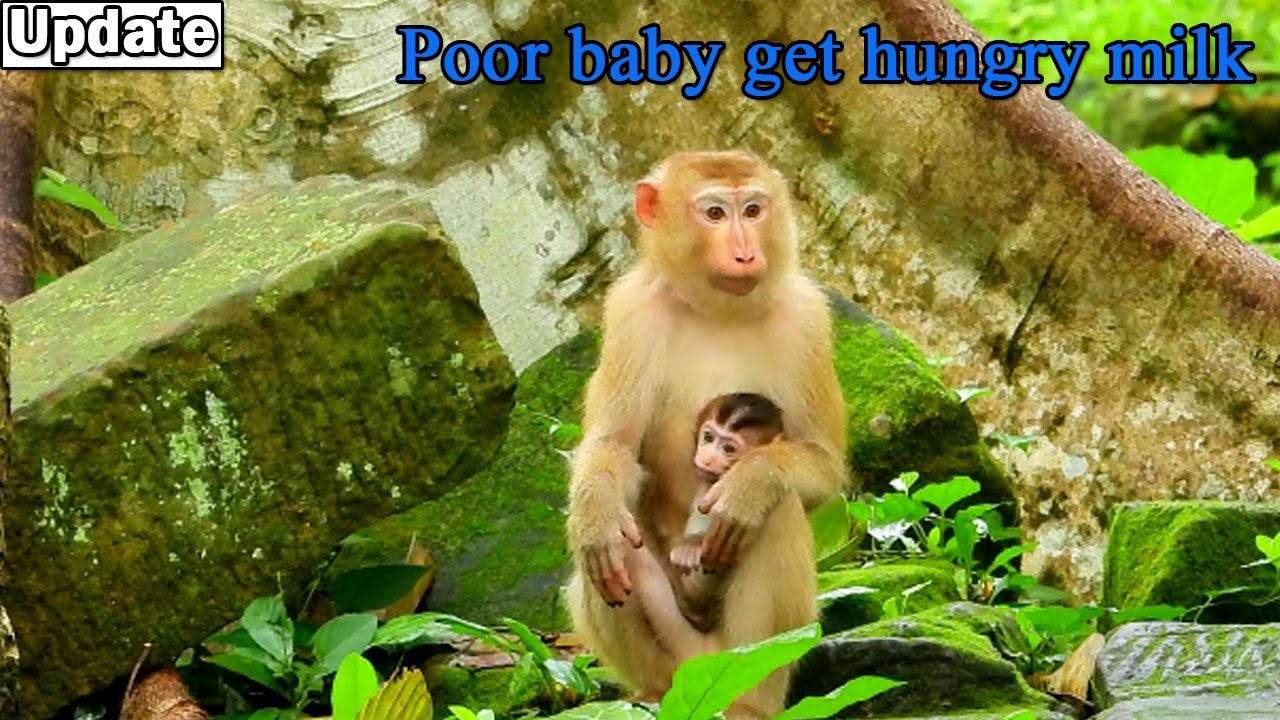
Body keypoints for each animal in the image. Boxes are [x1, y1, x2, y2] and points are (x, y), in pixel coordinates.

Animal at [565, 150, 849, 719]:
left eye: (754, 210)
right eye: (715, 213)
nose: (745, 253)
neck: (719, 308)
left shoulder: (809, 317)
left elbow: (822, 463)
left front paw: (750, 483)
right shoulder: (631, 312)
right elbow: (614, 448)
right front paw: (597, 517)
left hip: (752, 656)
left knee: (776, 513)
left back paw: (748, 703)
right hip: (680, 658)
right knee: (604, 554)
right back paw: (654, 691)